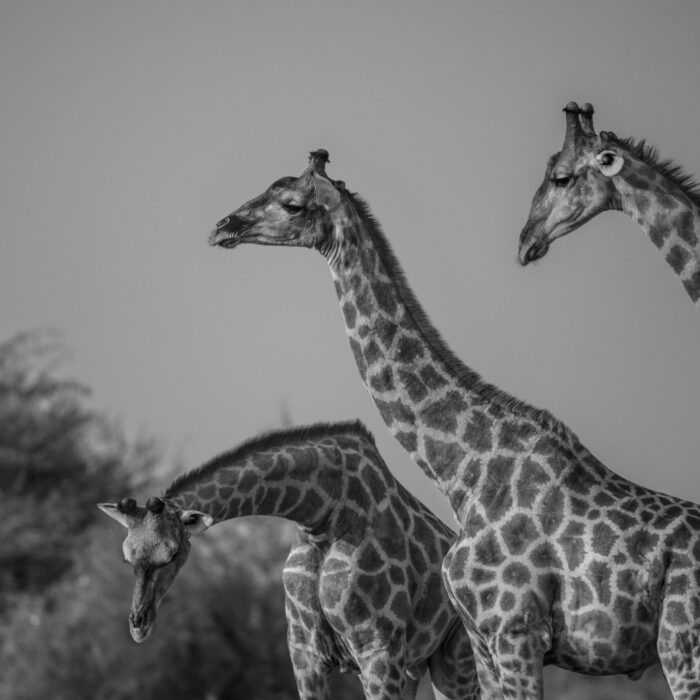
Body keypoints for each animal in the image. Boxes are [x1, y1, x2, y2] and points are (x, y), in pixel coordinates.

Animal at [98, 422, 482, 700]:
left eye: (173, 553)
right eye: (126, 559)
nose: (139, 625)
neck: (322, 517)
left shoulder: (377, 651)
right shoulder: (304, 654)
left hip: (456, 661)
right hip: (416, 667)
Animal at [209, 150, 700, 696]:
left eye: (292, 204)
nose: (223, 227)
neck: (463, 472)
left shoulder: (515, 631)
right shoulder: (481, 642)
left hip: (680, 641)